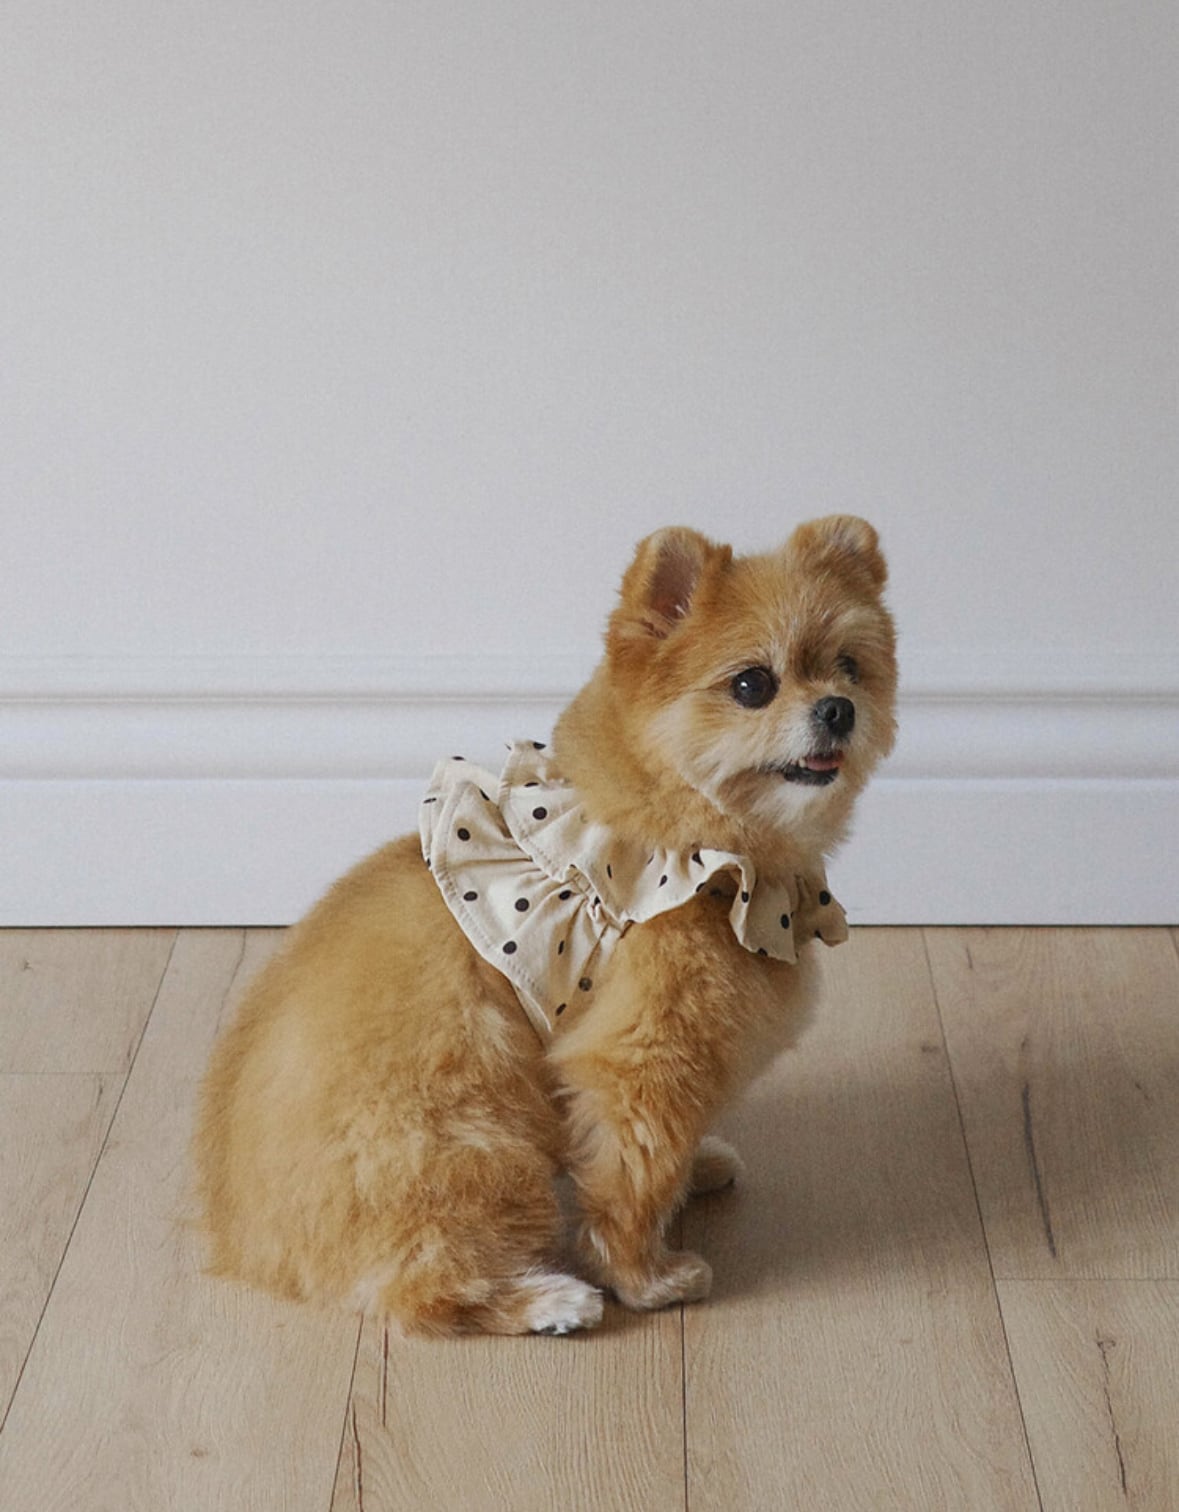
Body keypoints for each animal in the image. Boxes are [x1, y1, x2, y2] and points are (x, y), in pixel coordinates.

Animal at [194, 515, 897, 1335]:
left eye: (849, 667)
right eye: (753, 685)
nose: (839, 709)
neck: (684, 836)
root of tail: (248, 1244)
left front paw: (699, 1165)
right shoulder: (640, 1059)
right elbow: (632, 1177)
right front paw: (645, 1277)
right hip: (478, 1147)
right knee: (420, 1290)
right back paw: (547, 1299)